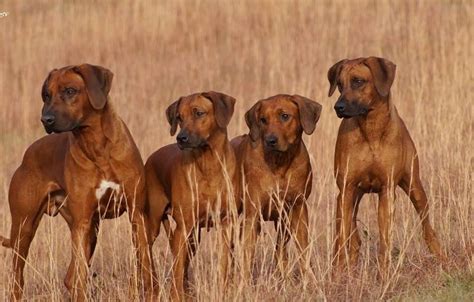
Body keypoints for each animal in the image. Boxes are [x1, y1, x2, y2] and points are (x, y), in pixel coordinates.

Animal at [0, 65, 156, 300]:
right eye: (47, 95)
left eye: (70, 91)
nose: (45, 119)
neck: (97, 146)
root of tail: (27, 155)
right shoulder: (82, 222)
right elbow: (80, 277)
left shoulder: (136, 214)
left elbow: (144, 263)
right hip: (25, 228)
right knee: (20, 277)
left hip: (90, 230)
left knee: (69, 276)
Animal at [144, 91, 237, 300]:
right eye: (179, 117)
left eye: (199, 113)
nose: (181, 138)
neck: (209, 163)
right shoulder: (183, 227)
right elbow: (177, 270)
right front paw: (175, 296)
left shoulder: (226, 224)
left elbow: (224, 264)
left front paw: (223, 292)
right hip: (152, 225)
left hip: (193, 237)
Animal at [231, 94, 322, 278]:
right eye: (263, 120)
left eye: (284, 116)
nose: (270, 140)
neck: (280, 162)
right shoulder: (253, 213)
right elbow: (247, 255)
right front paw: (243, 283)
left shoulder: (298, 208)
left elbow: (303, 249)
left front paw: (309, 279)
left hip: (283, 221)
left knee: (280, 250)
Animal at [330, 56, 444, 272]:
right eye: (339, 84)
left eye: (358, 81)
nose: (338, 107)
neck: (371, 129)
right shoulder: (346, 190)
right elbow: (341, 239)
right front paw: (338, 274)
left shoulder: (387, 192)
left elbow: (385, 241)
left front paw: (384, 275)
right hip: (350, 197)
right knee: (352, 238)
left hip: (415, 187)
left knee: (427, 227)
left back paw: (440, 254)